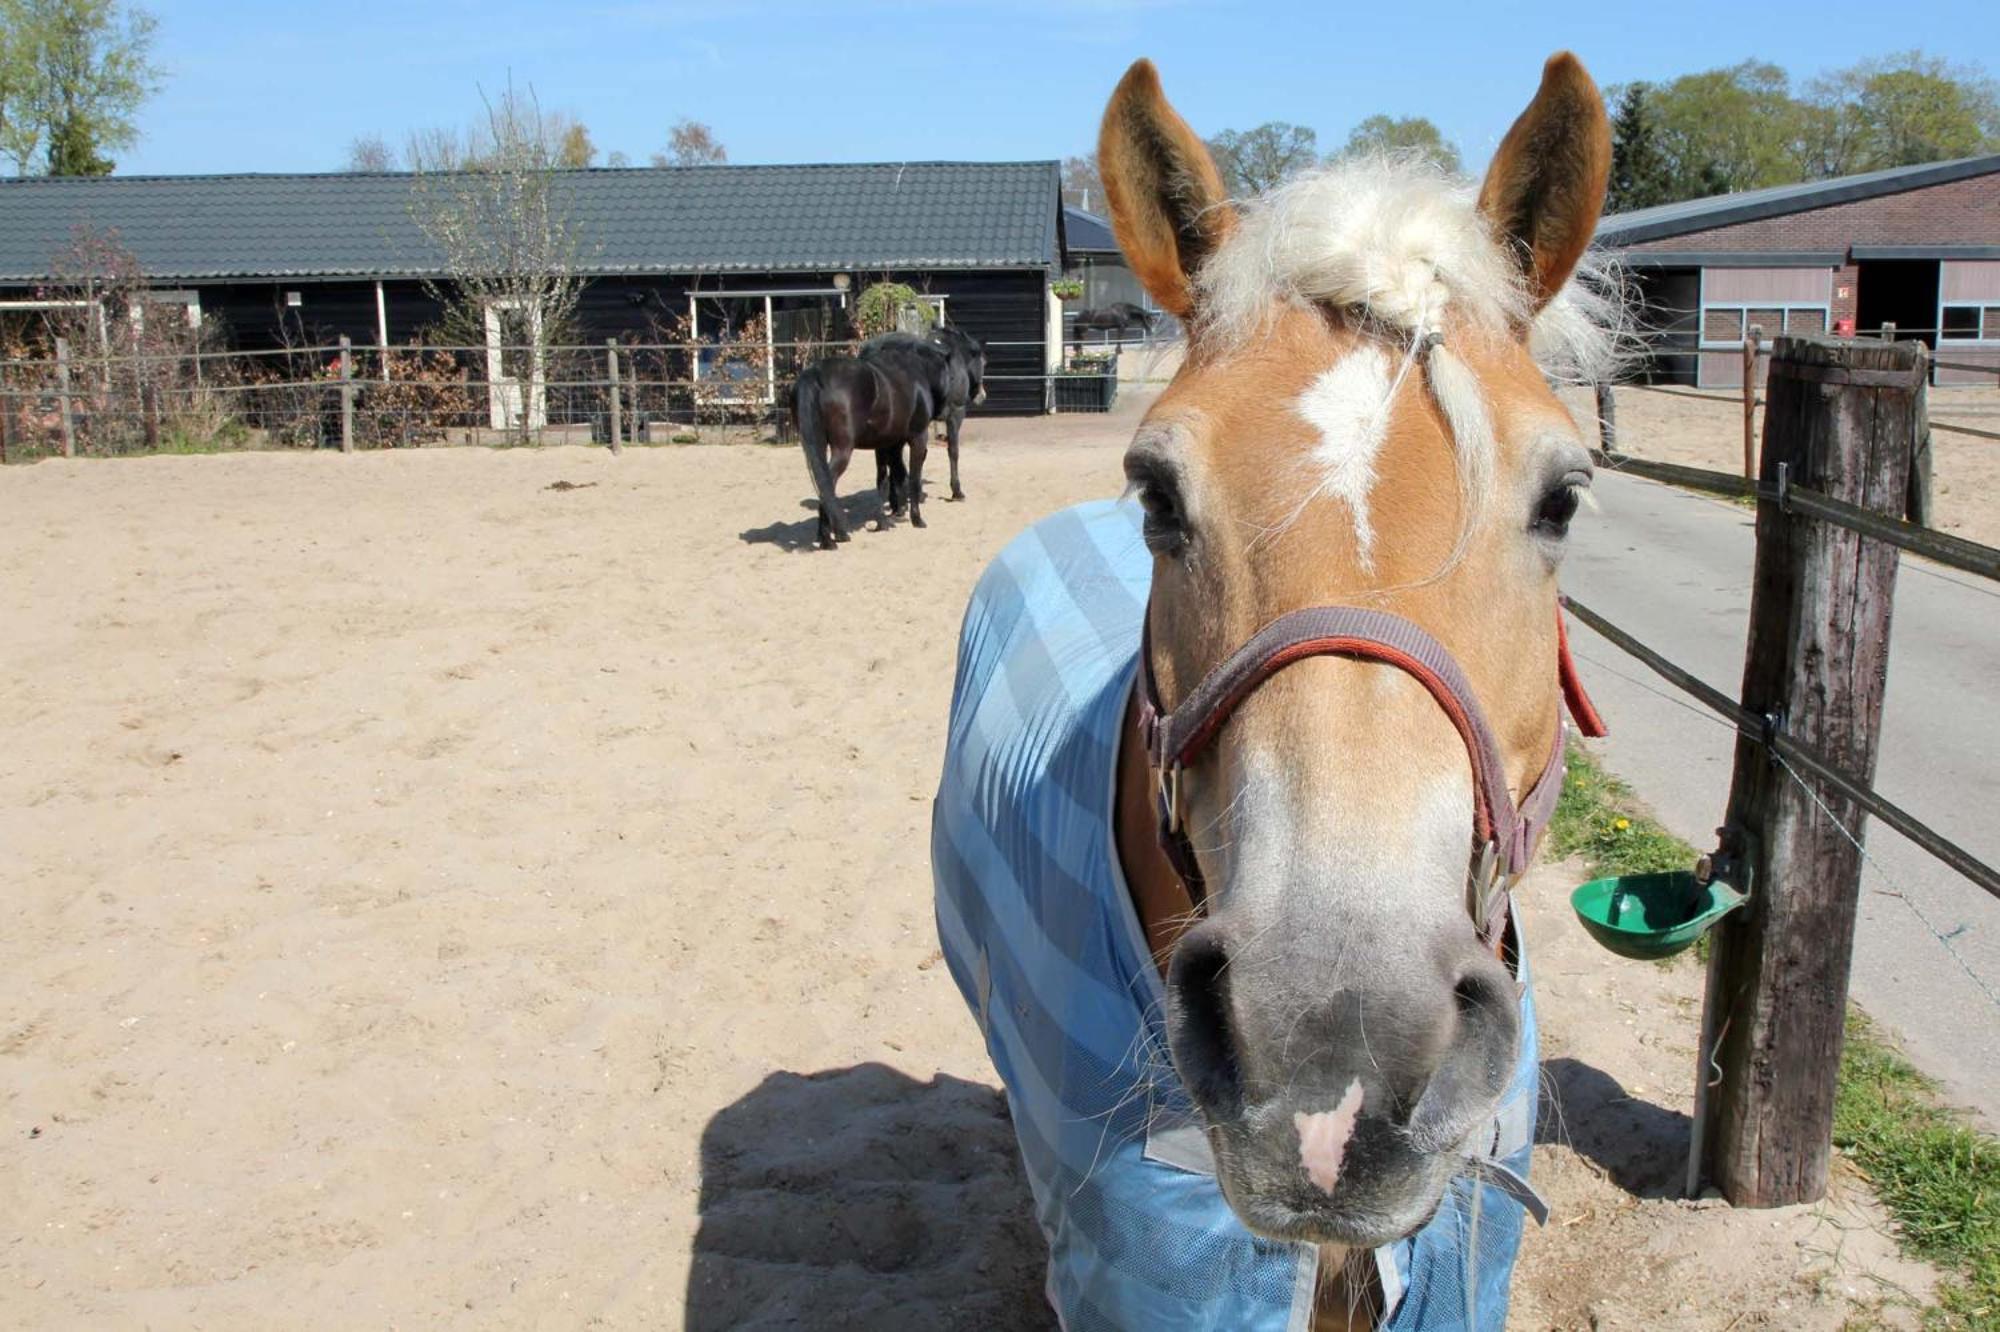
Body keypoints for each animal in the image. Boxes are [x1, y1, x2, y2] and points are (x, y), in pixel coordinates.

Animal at [792, 326, 988, 548]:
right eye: (983, 362)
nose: (980, 395)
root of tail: (816, 374)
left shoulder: (889, 441)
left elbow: (887, 476)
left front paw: (888, 518)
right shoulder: (928, 431)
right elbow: (930, 465)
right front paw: (923, 512)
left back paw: (829, 535)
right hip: (843, 449)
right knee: (827, 482)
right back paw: (832, 537)